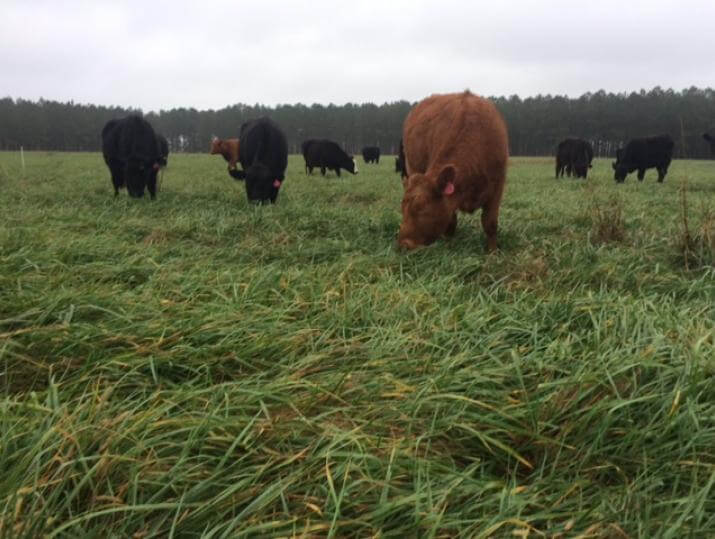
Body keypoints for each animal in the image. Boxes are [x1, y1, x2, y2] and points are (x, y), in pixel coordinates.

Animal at [398, 92, 510, 252]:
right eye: (402, 207)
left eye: (421, 207)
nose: (403, 244)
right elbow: (450, 222)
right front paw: (448, 246)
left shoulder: (497, 186)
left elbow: (490, 223)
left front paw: (493, 251)